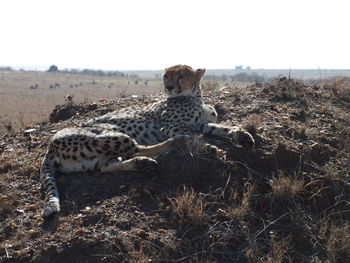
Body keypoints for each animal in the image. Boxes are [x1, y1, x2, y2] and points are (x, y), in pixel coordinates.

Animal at [41, 64, 254, 219]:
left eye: (181, 75)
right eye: (165, 76)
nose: (169, 87)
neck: (193, 97)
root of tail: (49, 147)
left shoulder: (202, 124)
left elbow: (219, 128)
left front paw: (241, 134)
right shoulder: (168, 128)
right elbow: (193, 136)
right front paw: (207, 145)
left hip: (93, 158)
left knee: (106, 166)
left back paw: (143, 163)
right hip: (111, 134)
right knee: (139, 147)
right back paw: (171, 145)